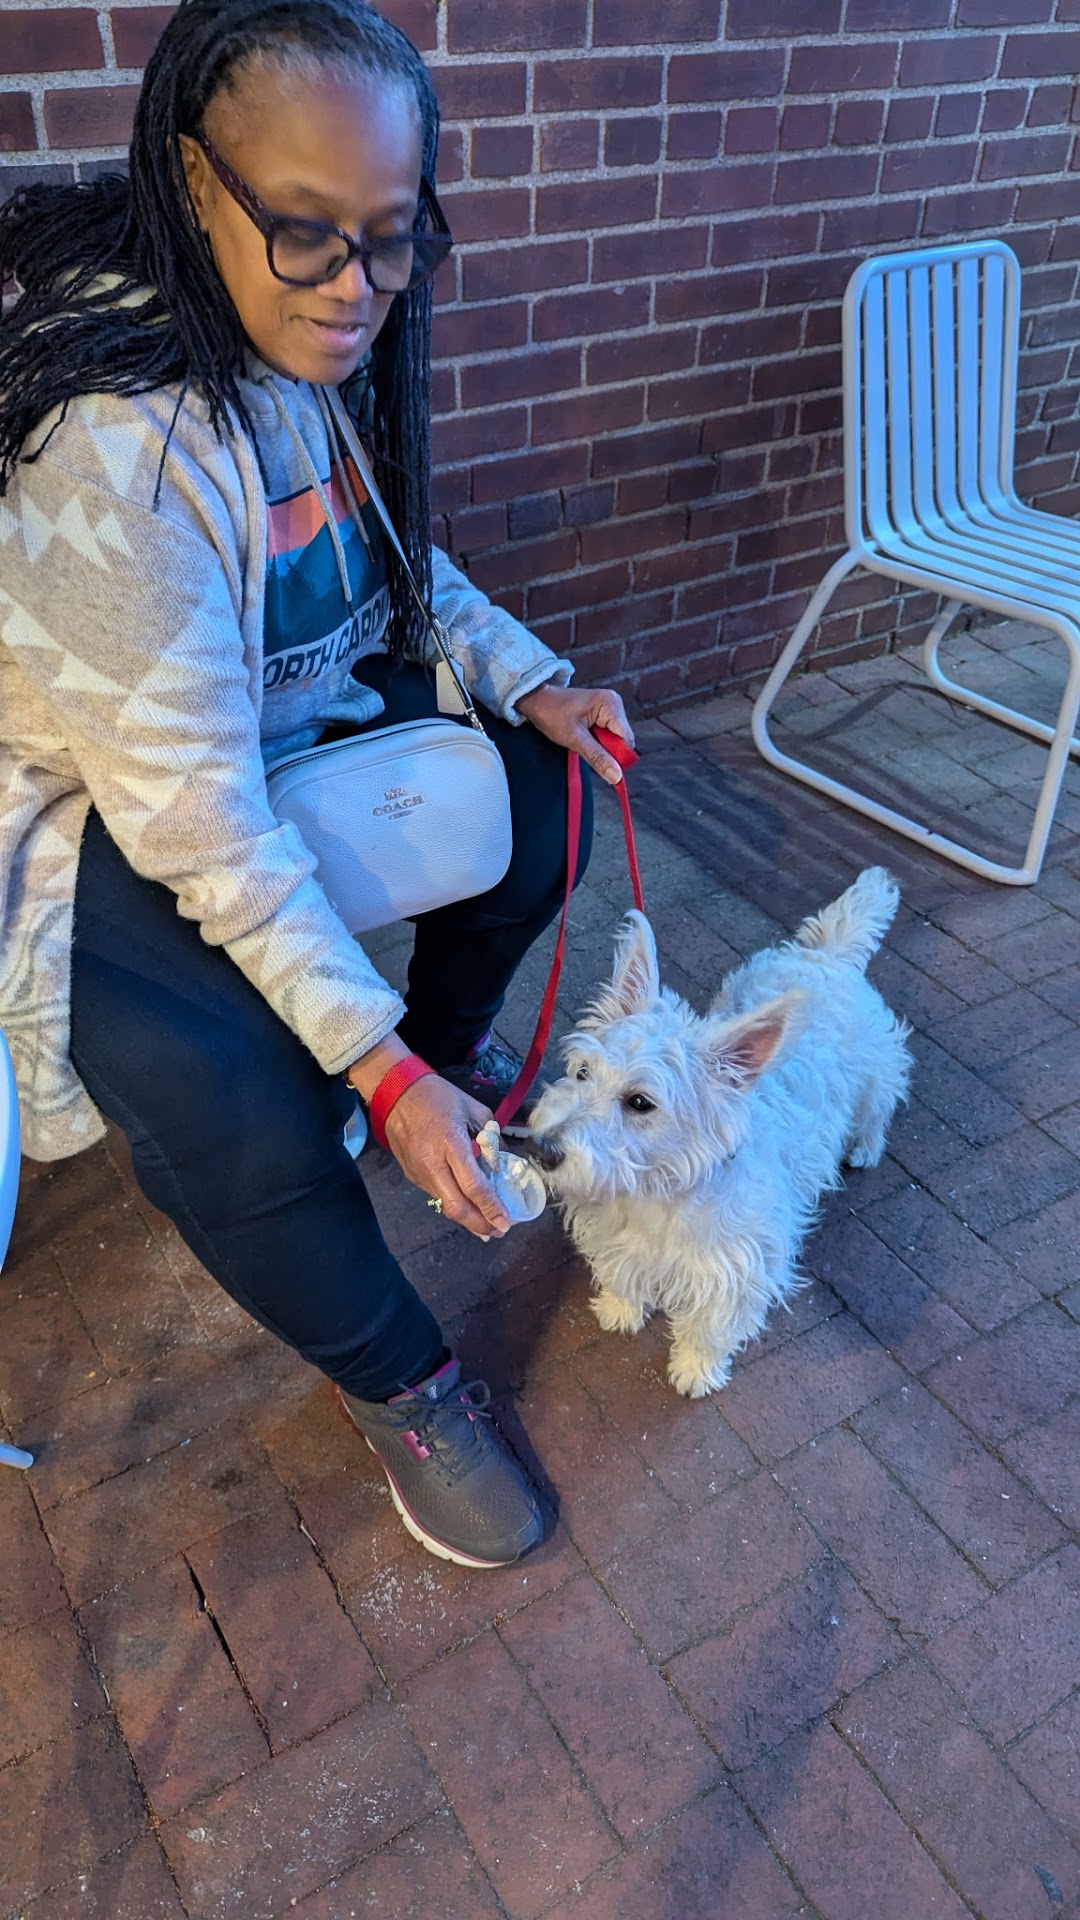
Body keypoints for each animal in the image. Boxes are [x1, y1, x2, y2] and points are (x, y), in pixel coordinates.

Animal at [526, 868, 912, 1398]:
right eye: (583, 1071)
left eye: (640, 1102)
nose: (540, 1149)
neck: (658, 1191)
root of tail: (828, 954)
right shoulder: (619, 1237)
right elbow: (622, 1273)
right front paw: (620, 1309)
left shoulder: (739, 1268)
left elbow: (710, 1326)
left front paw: (694, 1370)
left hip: (876, 1070)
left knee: (879, 1104)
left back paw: (865, 1148)